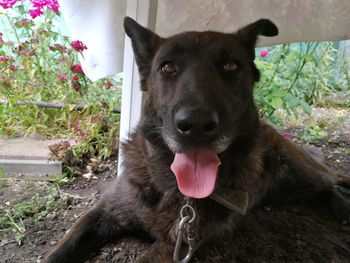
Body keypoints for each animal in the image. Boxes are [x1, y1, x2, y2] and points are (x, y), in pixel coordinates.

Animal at [45, 17, 348, 263]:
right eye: (167, 67)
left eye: (231, 66)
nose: (197, 125)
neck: (176, 190)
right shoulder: (103, 213)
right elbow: (60, 250)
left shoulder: (176, 244)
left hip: (301, 177)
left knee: (332, 180)